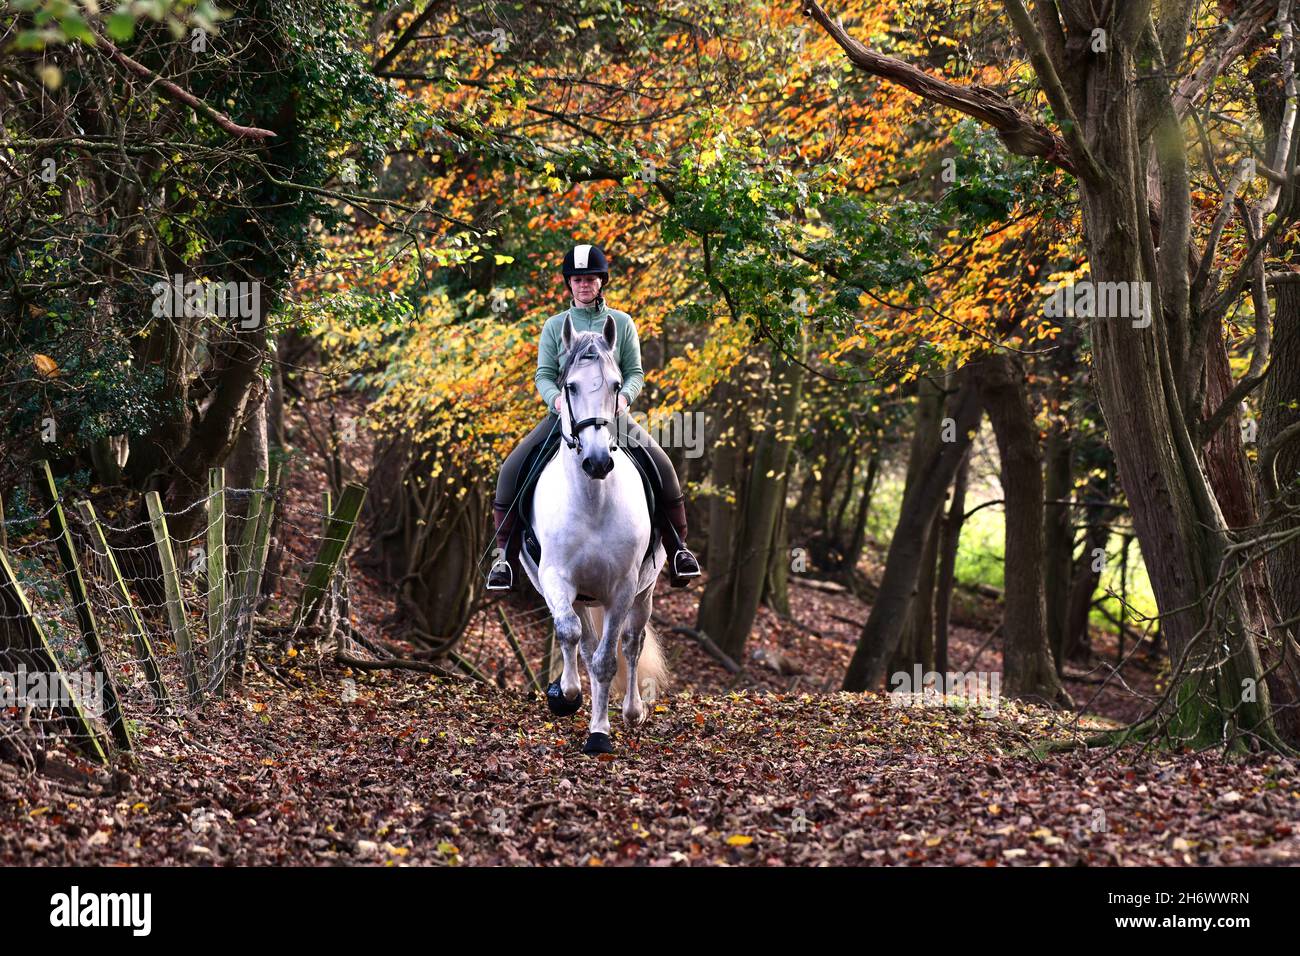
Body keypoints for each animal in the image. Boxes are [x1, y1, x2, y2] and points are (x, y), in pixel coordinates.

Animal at [517, 314, 665, 754]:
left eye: (616, 386)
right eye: (570, 386)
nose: (597, 461)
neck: (593, 500)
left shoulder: (622, 588)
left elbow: (607, 660)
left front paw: (599, 733)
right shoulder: (555, 577)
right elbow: (570, 634)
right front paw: (565, 696)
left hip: (644, 592)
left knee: (631, 643)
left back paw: (632, 712)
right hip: (576, 593)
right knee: (579, 637)